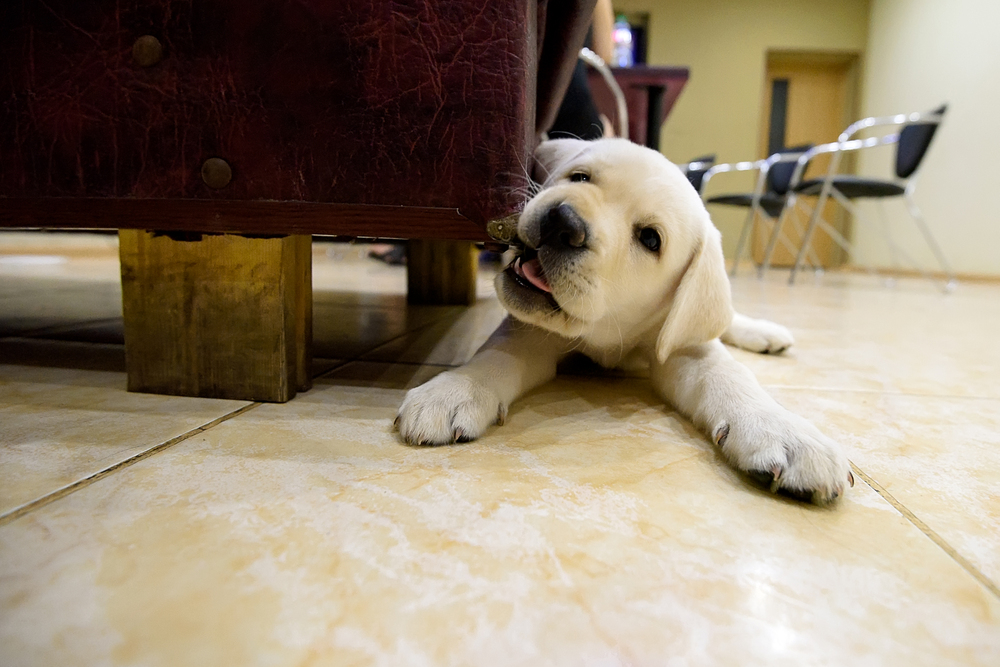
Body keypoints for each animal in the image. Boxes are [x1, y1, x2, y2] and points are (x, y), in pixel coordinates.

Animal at [396, 138, 852, 504]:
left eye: (650, 239)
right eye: (579, 177)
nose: (563, 222)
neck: (608, 330)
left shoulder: (683, 346)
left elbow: (728, 375)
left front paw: (784, 431)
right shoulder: (532, 328)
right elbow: (499, 353)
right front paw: (455, 389)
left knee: (726, 319)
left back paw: (763, 332)